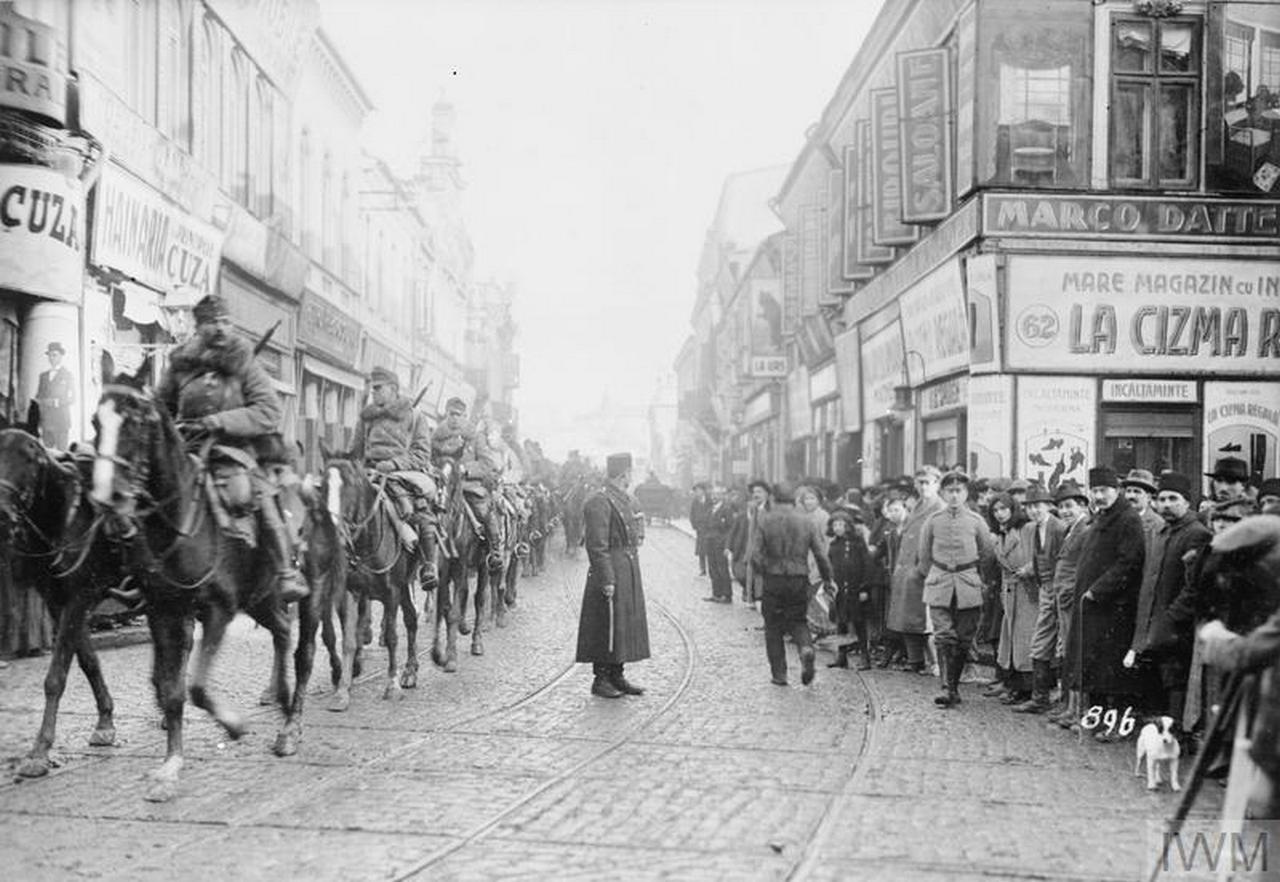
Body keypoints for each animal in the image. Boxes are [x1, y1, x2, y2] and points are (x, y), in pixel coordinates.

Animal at [0, 422, 133, 773]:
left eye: (30, 460)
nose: (2, 513)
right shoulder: (58, 602)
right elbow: (88, 661)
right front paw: (105, 721)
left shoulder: (79, 597)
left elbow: (56, 675)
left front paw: (39, 751)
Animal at [90, 378, 307, 803]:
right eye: (96, 422)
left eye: (135, 424)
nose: (108, 497)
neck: (181, 525)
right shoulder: (164, 613)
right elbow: (171, 689)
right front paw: (170, 766)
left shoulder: (218, 612)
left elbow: (197, 686)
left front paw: (235, 726)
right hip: (258, 601)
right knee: (281, 631)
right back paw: (280, 696)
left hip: (266, 594)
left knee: (286, 632)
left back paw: (287, 724)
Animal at [317, 453, 422, 701]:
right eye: (323, 487)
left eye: (350, 487)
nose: (333, 533)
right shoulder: (350, 590)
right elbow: (347, 638)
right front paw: (343, 688)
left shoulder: (392, 592)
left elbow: (392, 636)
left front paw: (392, 684)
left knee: (413, 619)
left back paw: (410, 672)